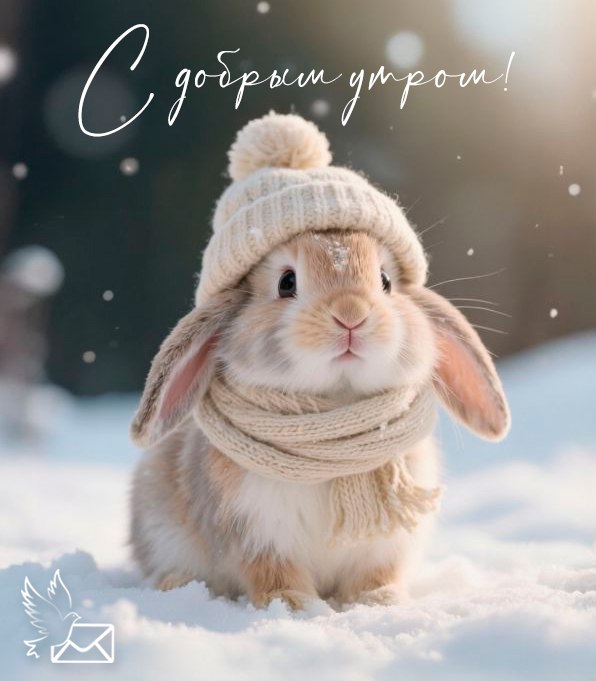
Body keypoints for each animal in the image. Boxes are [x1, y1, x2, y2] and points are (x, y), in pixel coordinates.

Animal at [129, 229, 509, 610]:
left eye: (385, 281)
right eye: (286, 282)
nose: (350, 313)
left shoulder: (383, 543)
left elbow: (375, 572)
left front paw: (378, 599)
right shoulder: (259, 533)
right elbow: (272, 572)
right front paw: (293, 604)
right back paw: (176, 585)